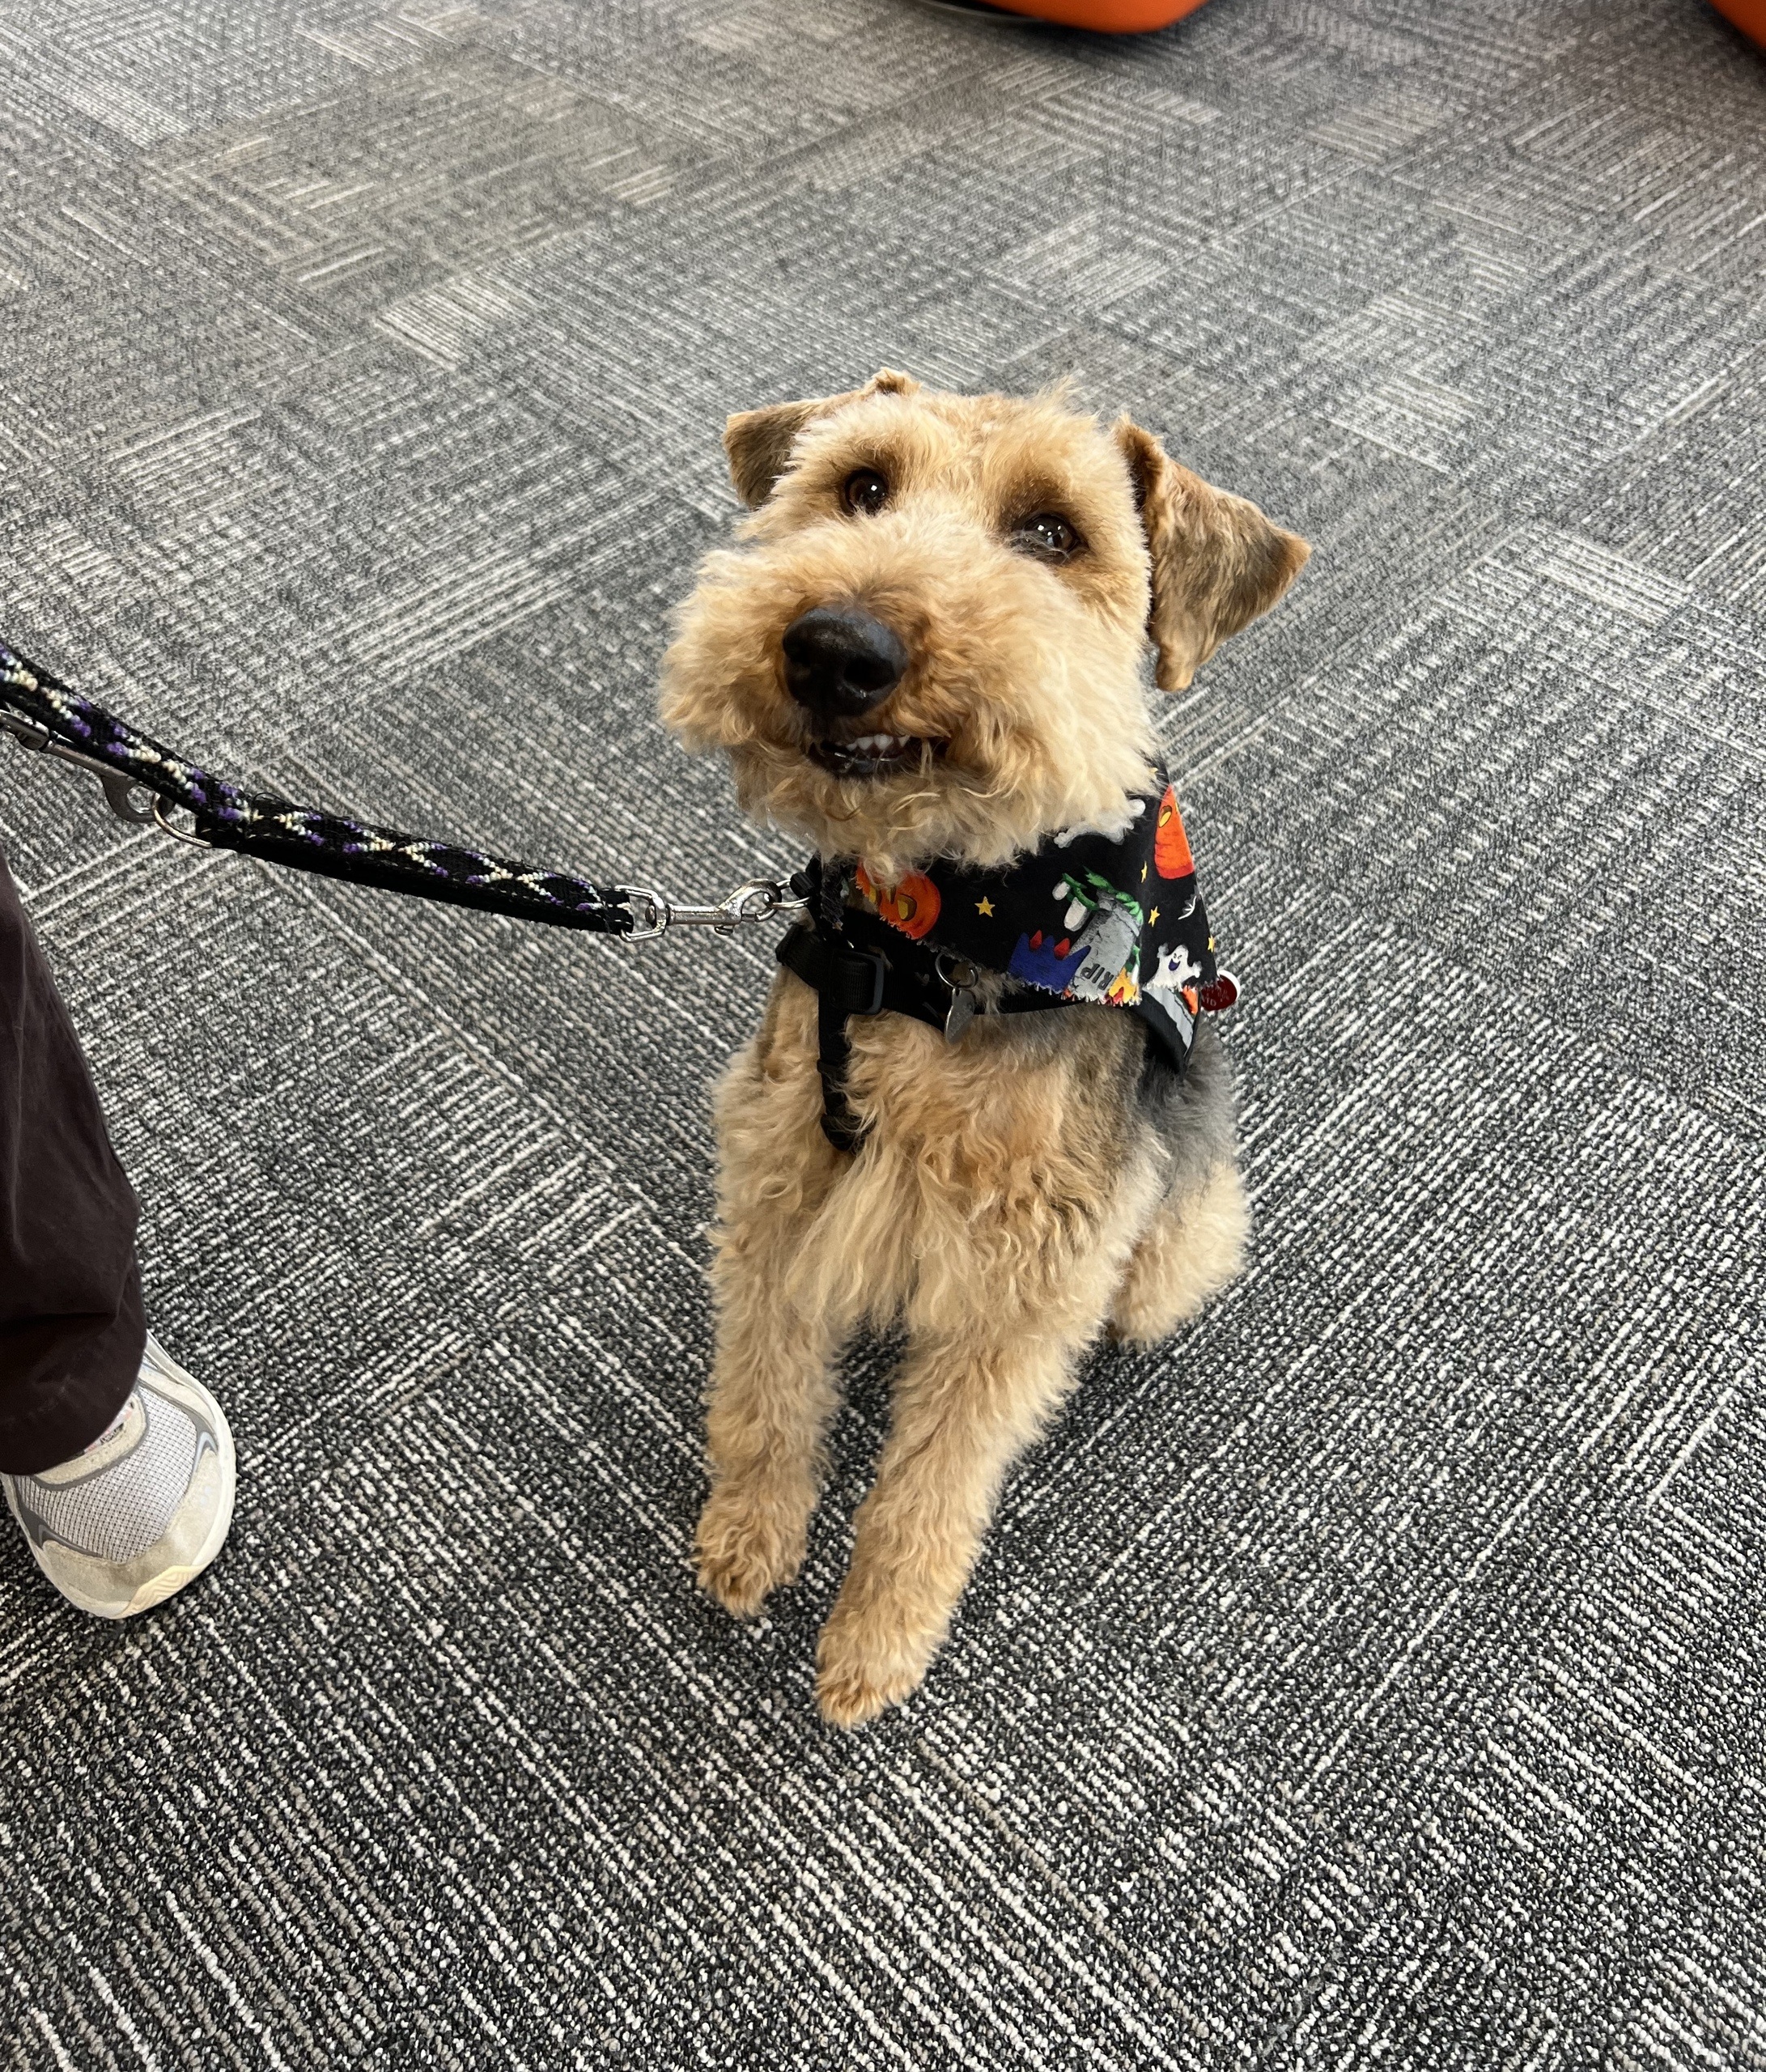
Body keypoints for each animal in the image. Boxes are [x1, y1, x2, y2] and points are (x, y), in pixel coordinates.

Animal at [663, 372, 1310, 1732]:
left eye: (1053, 533)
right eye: (859, 486)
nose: (836, 646)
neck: (933, 937)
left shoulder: (1022, 1273)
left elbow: (928, 1490)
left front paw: (872, 1643)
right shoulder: (782, 1173)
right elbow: (762, 1396)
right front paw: (747, 1539)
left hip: (1174, 1230)